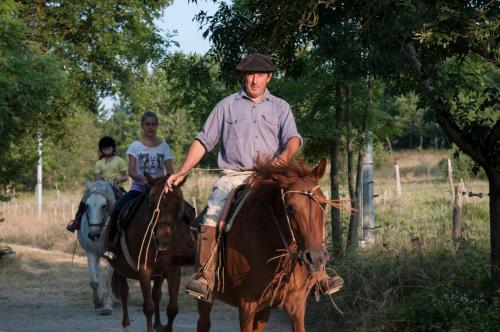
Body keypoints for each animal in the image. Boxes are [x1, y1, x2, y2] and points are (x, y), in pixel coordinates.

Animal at [77, 178, 115, 316]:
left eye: (103, 206)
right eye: (86, 205)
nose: (93, 234)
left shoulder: (113, 254)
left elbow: (109, 280)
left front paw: (108, 306)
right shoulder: (91, 253)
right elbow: (94, 281)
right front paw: (98, 301)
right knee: (97, 274)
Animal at [108, 175, 194, 330]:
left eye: (177, 204)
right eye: (152, 203)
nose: (163, 240)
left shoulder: (173, 270)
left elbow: (172, 309)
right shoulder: (144, 270)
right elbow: (148, 307)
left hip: (159, 273)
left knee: (156, 295)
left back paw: (158, 324)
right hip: (121, 269)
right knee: (124, 292)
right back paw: (126, 323)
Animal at [197, 158, 338, 332]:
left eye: (323, 204)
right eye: (289, 207)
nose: (316, 258)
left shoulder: (296, 305)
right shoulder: (247, 305)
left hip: (264, 310)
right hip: (206, 300)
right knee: (203, 322)